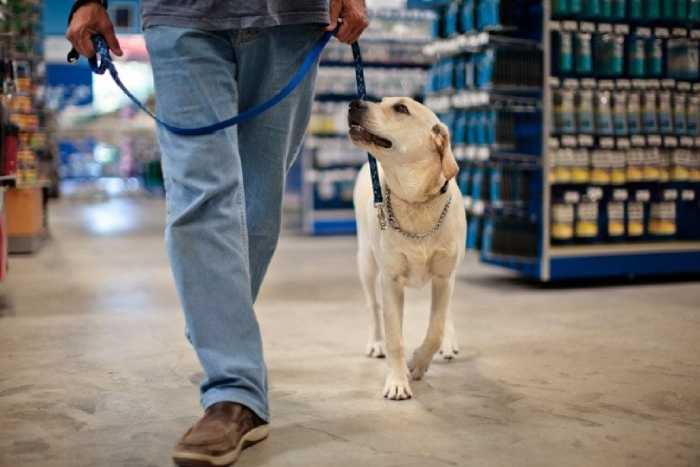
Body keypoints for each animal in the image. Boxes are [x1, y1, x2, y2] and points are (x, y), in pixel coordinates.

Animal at [348, 97, 464, 400]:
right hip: (366, 262)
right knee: (373, 307)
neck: (415, 202)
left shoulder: (443, 276)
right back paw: (376, 342)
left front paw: (419, 362)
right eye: (379, 101)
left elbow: (435, 328)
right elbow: (395, 338)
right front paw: (398, 381)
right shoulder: (391, 281)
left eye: (401, 108)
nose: (354, 103)